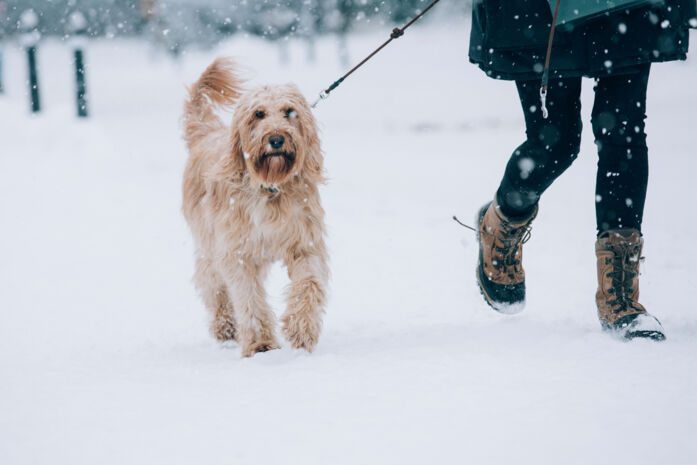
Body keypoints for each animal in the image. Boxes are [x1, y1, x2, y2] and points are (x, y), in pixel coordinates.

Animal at [182, 57, 328, 356]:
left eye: (289, 112)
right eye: (259, 114)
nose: (276, 139)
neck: (269, 187)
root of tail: (206, 133)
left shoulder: (305, 242)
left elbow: (309, 282)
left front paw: (302, 329)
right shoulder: (236, 253)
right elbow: (247, 296)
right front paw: (261, 344)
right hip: (209, 245)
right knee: (211, 283)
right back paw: (225, 326)